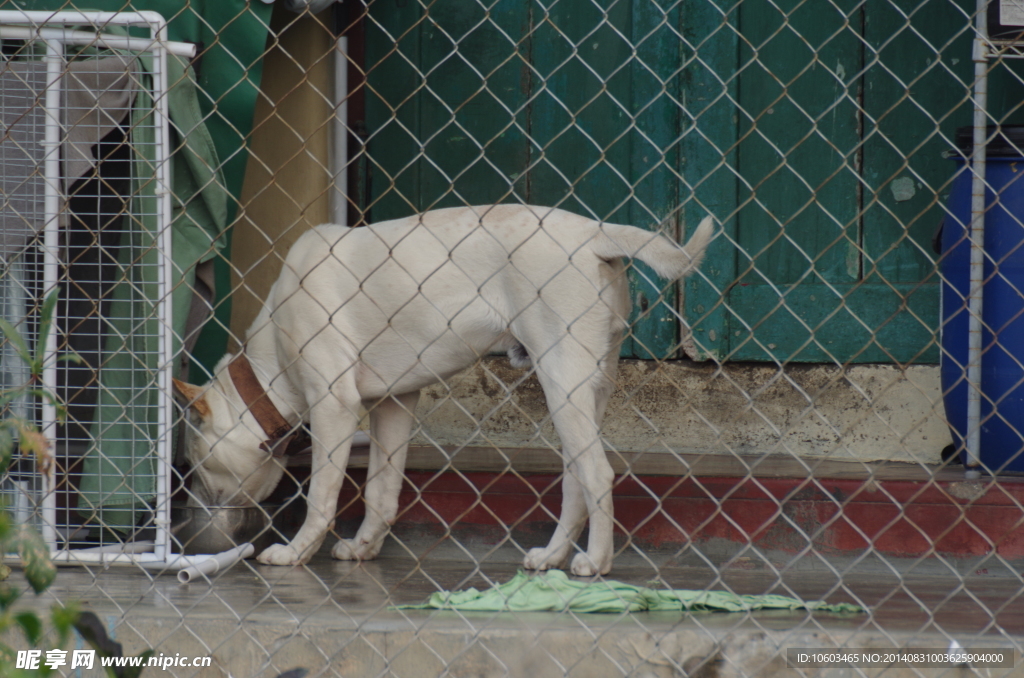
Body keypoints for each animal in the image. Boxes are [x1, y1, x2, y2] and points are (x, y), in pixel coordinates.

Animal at [172, 204, 708, 577]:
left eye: (197, 468)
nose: (188, 524)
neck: (269, 366)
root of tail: (591, 232)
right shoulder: (393, 405)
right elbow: (381, 490)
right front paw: (363, 547)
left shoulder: (333, 406)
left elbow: (322, 494)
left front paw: (296, 552)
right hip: (588, 389)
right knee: (577, 478)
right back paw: (552, 555)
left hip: (562, 380)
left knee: (596, 474)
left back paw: (595, 562)